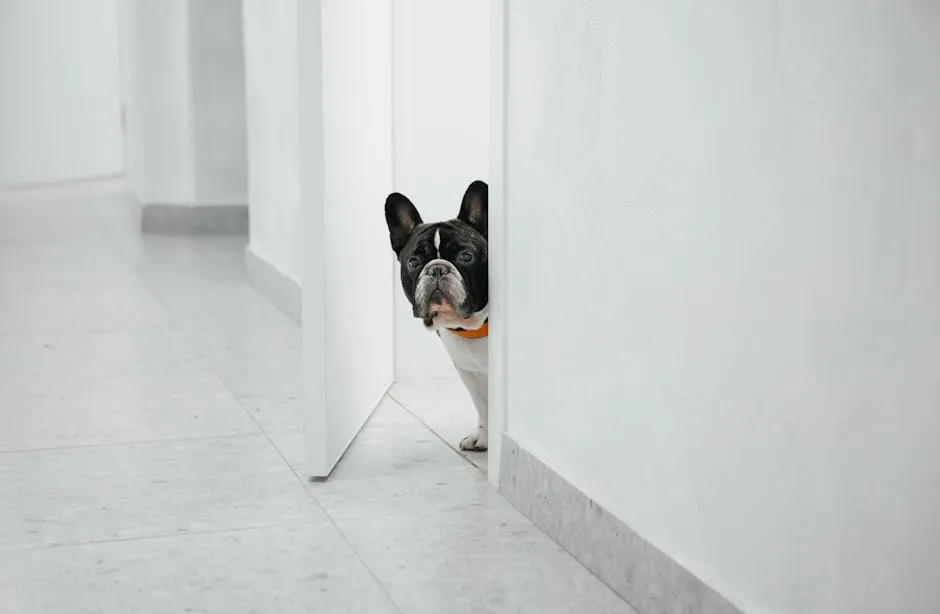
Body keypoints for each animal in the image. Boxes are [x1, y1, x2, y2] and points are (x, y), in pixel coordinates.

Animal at [384, 179, 488, 452]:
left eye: (466, 257)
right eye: (413, 262)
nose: (438, 269)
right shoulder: (468, 372)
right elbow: (482, 405)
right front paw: (483, 437)